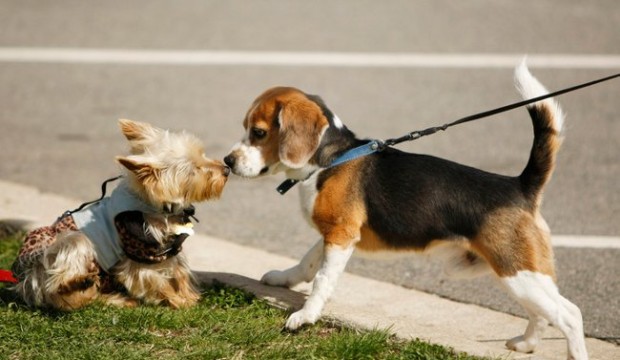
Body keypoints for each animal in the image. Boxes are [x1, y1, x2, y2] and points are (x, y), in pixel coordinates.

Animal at [11, 119, 230, 310]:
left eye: (203, 154)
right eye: (194, 170)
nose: (226, 169)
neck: (155, 207)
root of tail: (28, 280)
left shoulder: (167, 248)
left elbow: (179, 271)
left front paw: (187, 296)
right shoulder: (138, 252)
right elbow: (154, 279)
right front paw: (178, 300)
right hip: (69, 243)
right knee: (61, 282)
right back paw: (78, 281)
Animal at [223, 64, 588, 360]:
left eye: (258, 132)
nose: (227, 161)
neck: (331, 158)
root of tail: (520, 186)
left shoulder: (341, 235)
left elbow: (323, 280)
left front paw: (304, 316)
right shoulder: (335, 234)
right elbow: (307, 263)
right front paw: (283, 279)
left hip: (517, 271)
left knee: (570, 314)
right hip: (517, 274)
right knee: (542, 313)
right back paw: (526, 344)